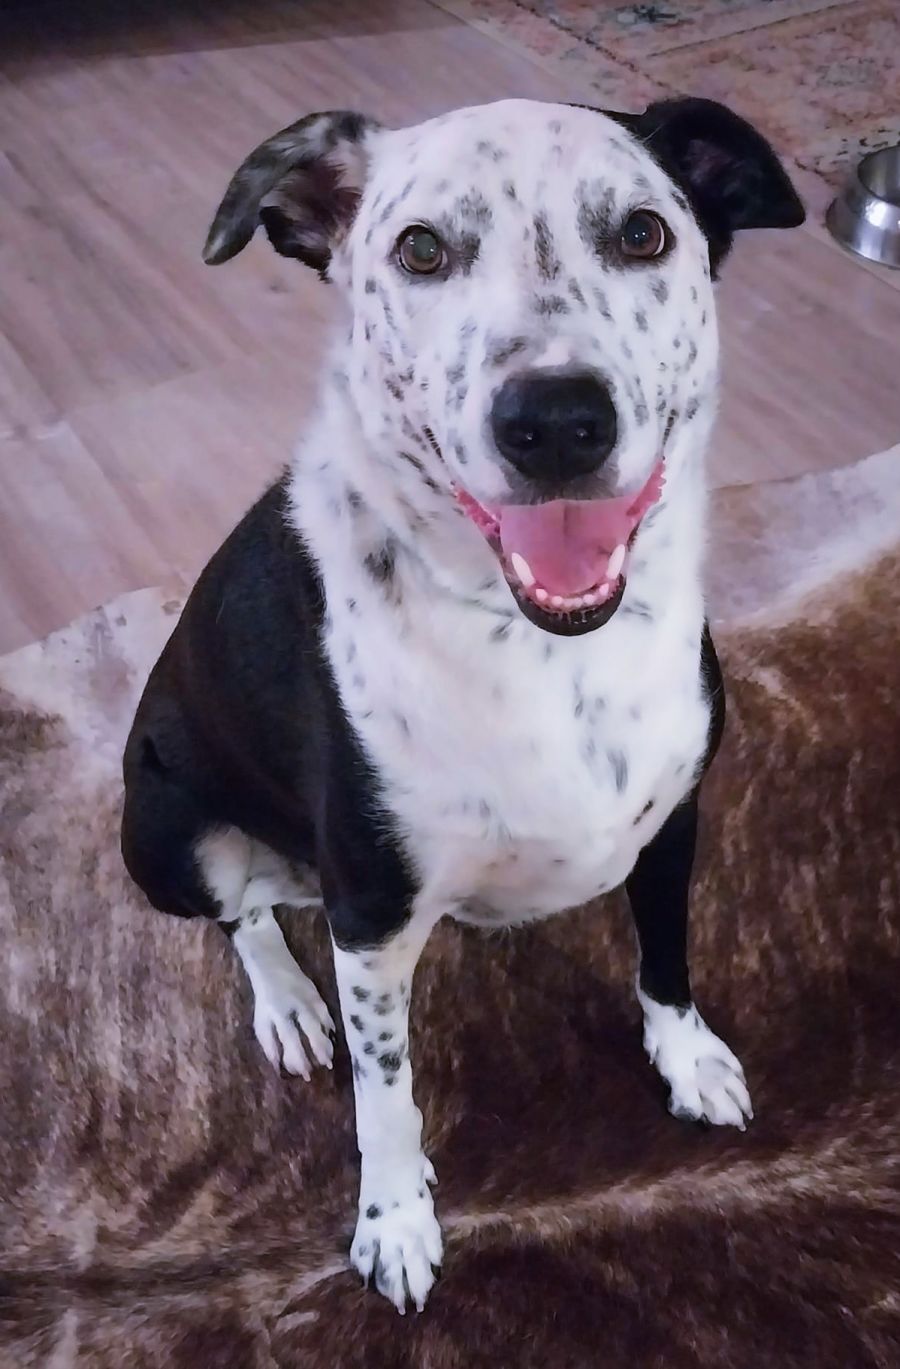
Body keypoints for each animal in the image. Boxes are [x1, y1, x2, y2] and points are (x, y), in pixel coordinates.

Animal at [121, 97, 803, 1312]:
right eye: (421, 249)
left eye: (643, 233)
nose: (558, 419)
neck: (545, 647)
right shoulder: (370, 916)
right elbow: (386, 1095)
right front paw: (394, 1219)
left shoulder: (677, 816)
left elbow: (666, 958)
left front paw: (687, 1058)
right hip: (164, 821)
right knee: (241, 915)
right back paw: (287, 1004)